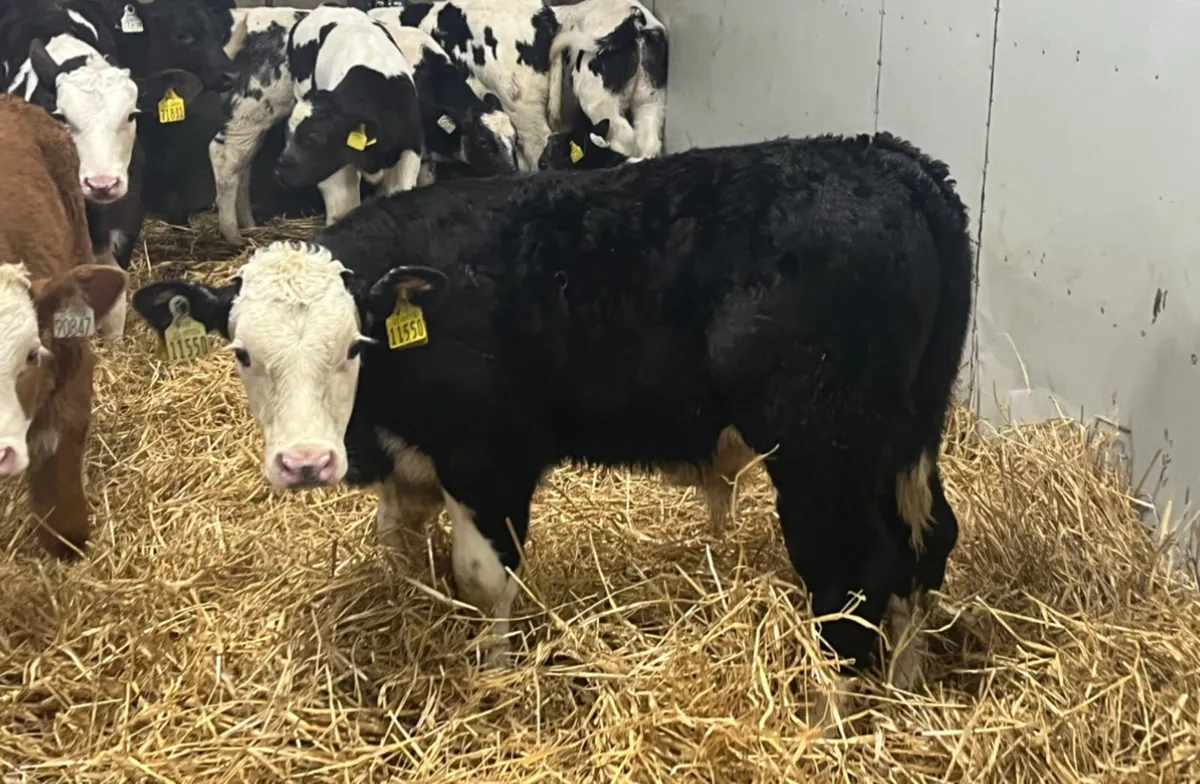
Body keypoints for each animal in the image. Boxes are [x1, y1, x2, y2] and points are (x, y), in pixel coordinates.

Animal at [132, 131, 973, 728]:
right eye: (242, 353)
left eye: (353, 347)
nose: (305, 461)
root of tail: (888, 159)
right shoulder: (411, 468)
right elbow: (400, 552)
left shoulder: (488, 459)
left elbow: (482, 575)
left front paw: (496, 676)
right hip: (901, 442)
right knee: (923, 545)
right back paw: (905, 691)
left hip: (821, 453)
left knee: (852, 576)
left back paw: (831, 714)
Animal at [273, 5, 424, 227]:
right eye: (287, 135)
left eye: (312, 139)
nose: (279, 173)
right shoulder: (339, 163)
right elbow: (342, 209)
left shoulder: (411, 148)